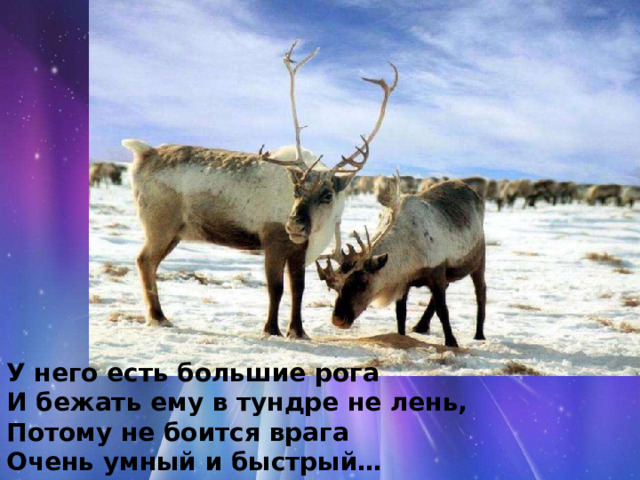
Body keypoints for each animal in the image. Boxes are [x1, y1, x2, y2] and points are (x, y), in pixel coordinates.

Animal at [121, 41, 397, 339]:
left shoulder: (299, 250)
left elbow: (298, 289)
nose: (295, 225)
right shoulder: (273, 239)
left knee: (149, 262)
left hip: (176, 231)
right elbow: (275, 288)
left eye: (327, 194)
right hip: (160, 225)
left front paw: (298, 331)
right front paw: (271, 329)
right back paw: (158, 317)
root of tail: (144, 152)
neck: (318, 231)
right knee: (144, 260)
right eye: (296, 190)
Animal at [316, 177, 486, 348]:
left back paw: (479, 334)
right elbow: (401, 314)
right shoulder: (402, 281)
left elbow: (443, 310)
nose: (337, 320)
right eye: (334, 288)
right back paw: (421, 326)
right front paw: (402, 336)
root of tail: (473, 192)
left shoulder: (437, 270)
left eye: (362, 283)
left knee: (481, 291)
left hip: (479, 258)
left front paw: (451, 342)